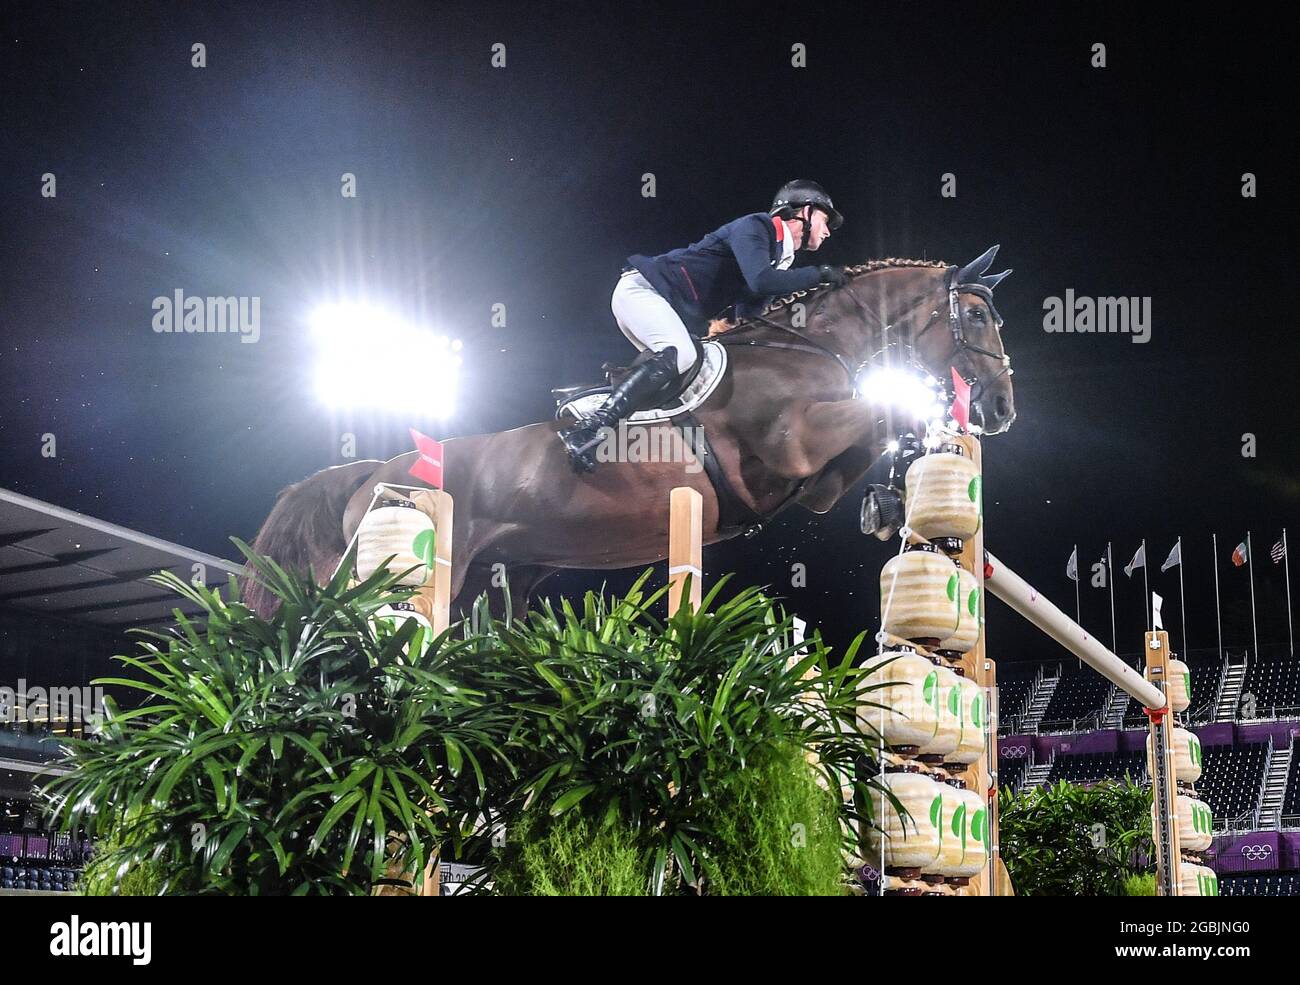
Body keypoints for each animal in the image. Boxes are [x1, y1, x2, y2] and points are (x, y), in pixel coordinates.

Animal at [244, 246, 1013, 618]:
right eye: (977, 315)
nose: (1001, 408)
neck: (810, 345)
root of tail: (369, 471)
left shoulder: (814, 478)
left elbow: (877, 439)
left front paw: (889, 499)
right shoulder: (793, 440)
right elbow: (891, 411)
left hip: (491, 581)